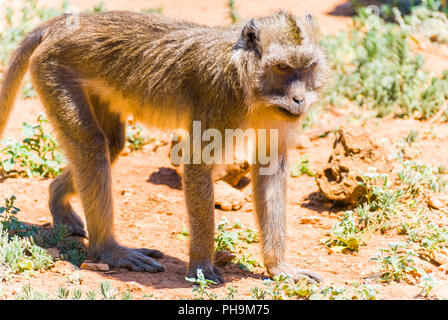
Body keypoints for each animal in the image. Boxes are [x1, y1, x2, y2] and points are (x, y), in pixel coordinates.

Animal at [0, 10, 328, 284]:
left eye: (307, 68)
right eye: (283, 67)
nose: (299, 99)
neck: (252, 86)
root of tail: (65, 25)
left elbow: (270, 169)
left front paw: (278, 267)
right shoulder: (221, 98)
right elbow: (197, 163)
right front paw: (201, 267)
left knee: (111, 145)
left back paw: (58, 199)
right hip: (53, 68)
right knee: (92, 147)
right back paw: (108, 250)